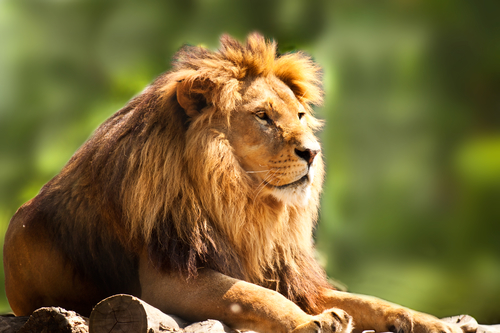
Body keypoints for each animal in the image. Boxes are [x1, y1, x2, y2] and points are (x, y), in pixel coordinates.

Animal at [2, 33, 464, 332]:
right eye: (263, 116)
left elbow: (369, 300)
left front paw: (430, 321)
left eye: (299, 115)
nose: (312, 152)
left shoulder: (287, 272)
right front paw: (313, 322)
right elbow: (256, 296)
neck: (244, 203)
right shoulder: (170, 278)